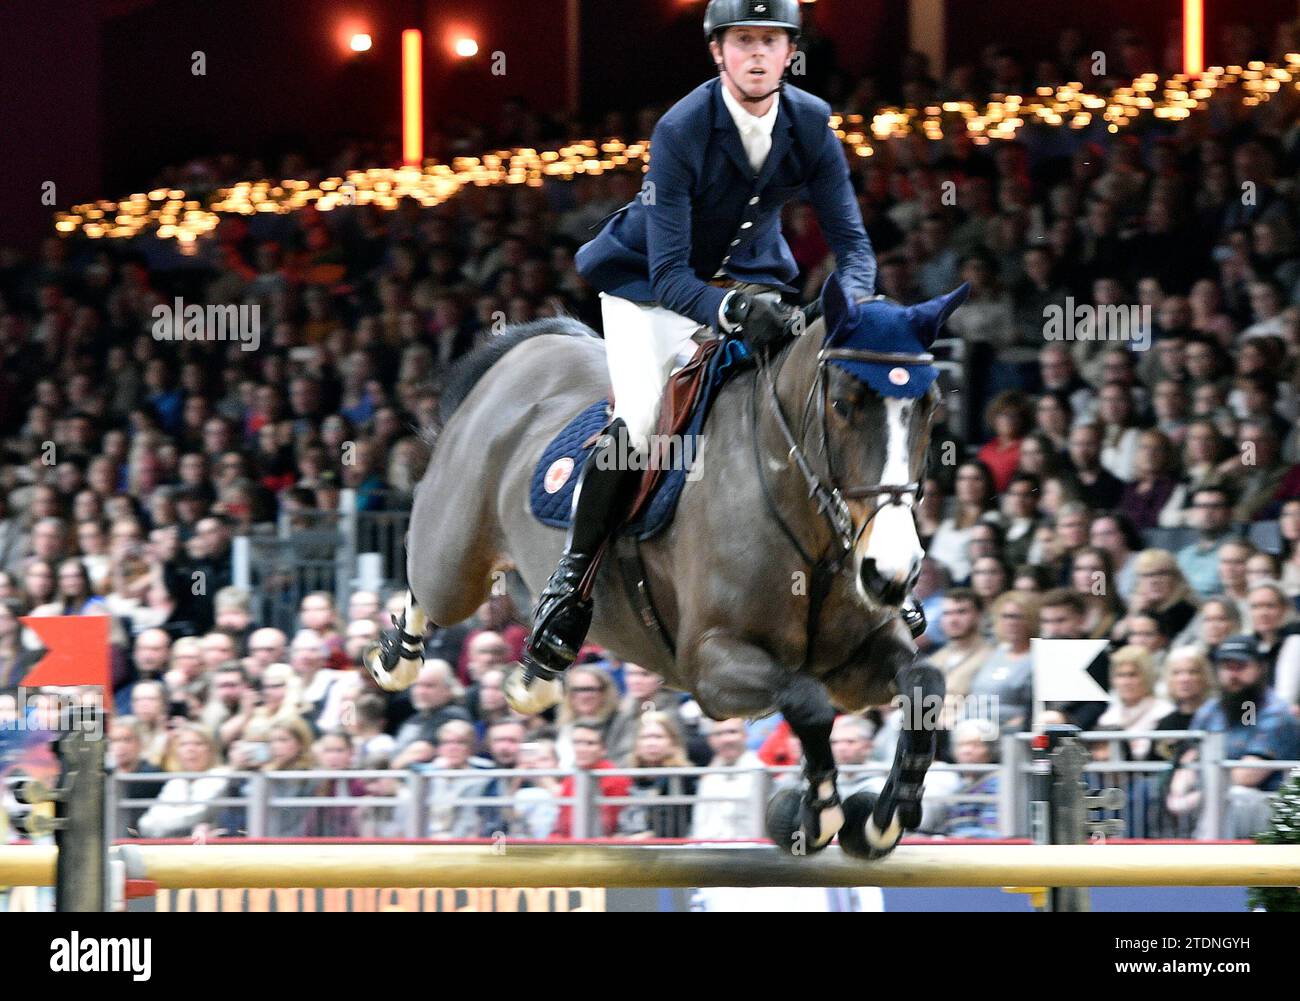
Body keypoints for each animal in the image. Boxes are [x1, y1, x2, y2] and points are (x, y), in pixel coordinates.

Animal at [364, 275, 967, 857]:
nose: (891, 573)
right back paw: (397, 660)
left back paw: (536, 670)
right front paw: (813, 816)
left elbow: (925, 685)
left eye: (931, 405)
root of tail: (524, 352)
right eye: (843, 403)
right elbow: (807, 702)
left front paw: (883, 821)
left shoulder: (854, 663)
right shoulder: (711, 665)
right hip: (454, 559)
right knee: (428, 585)